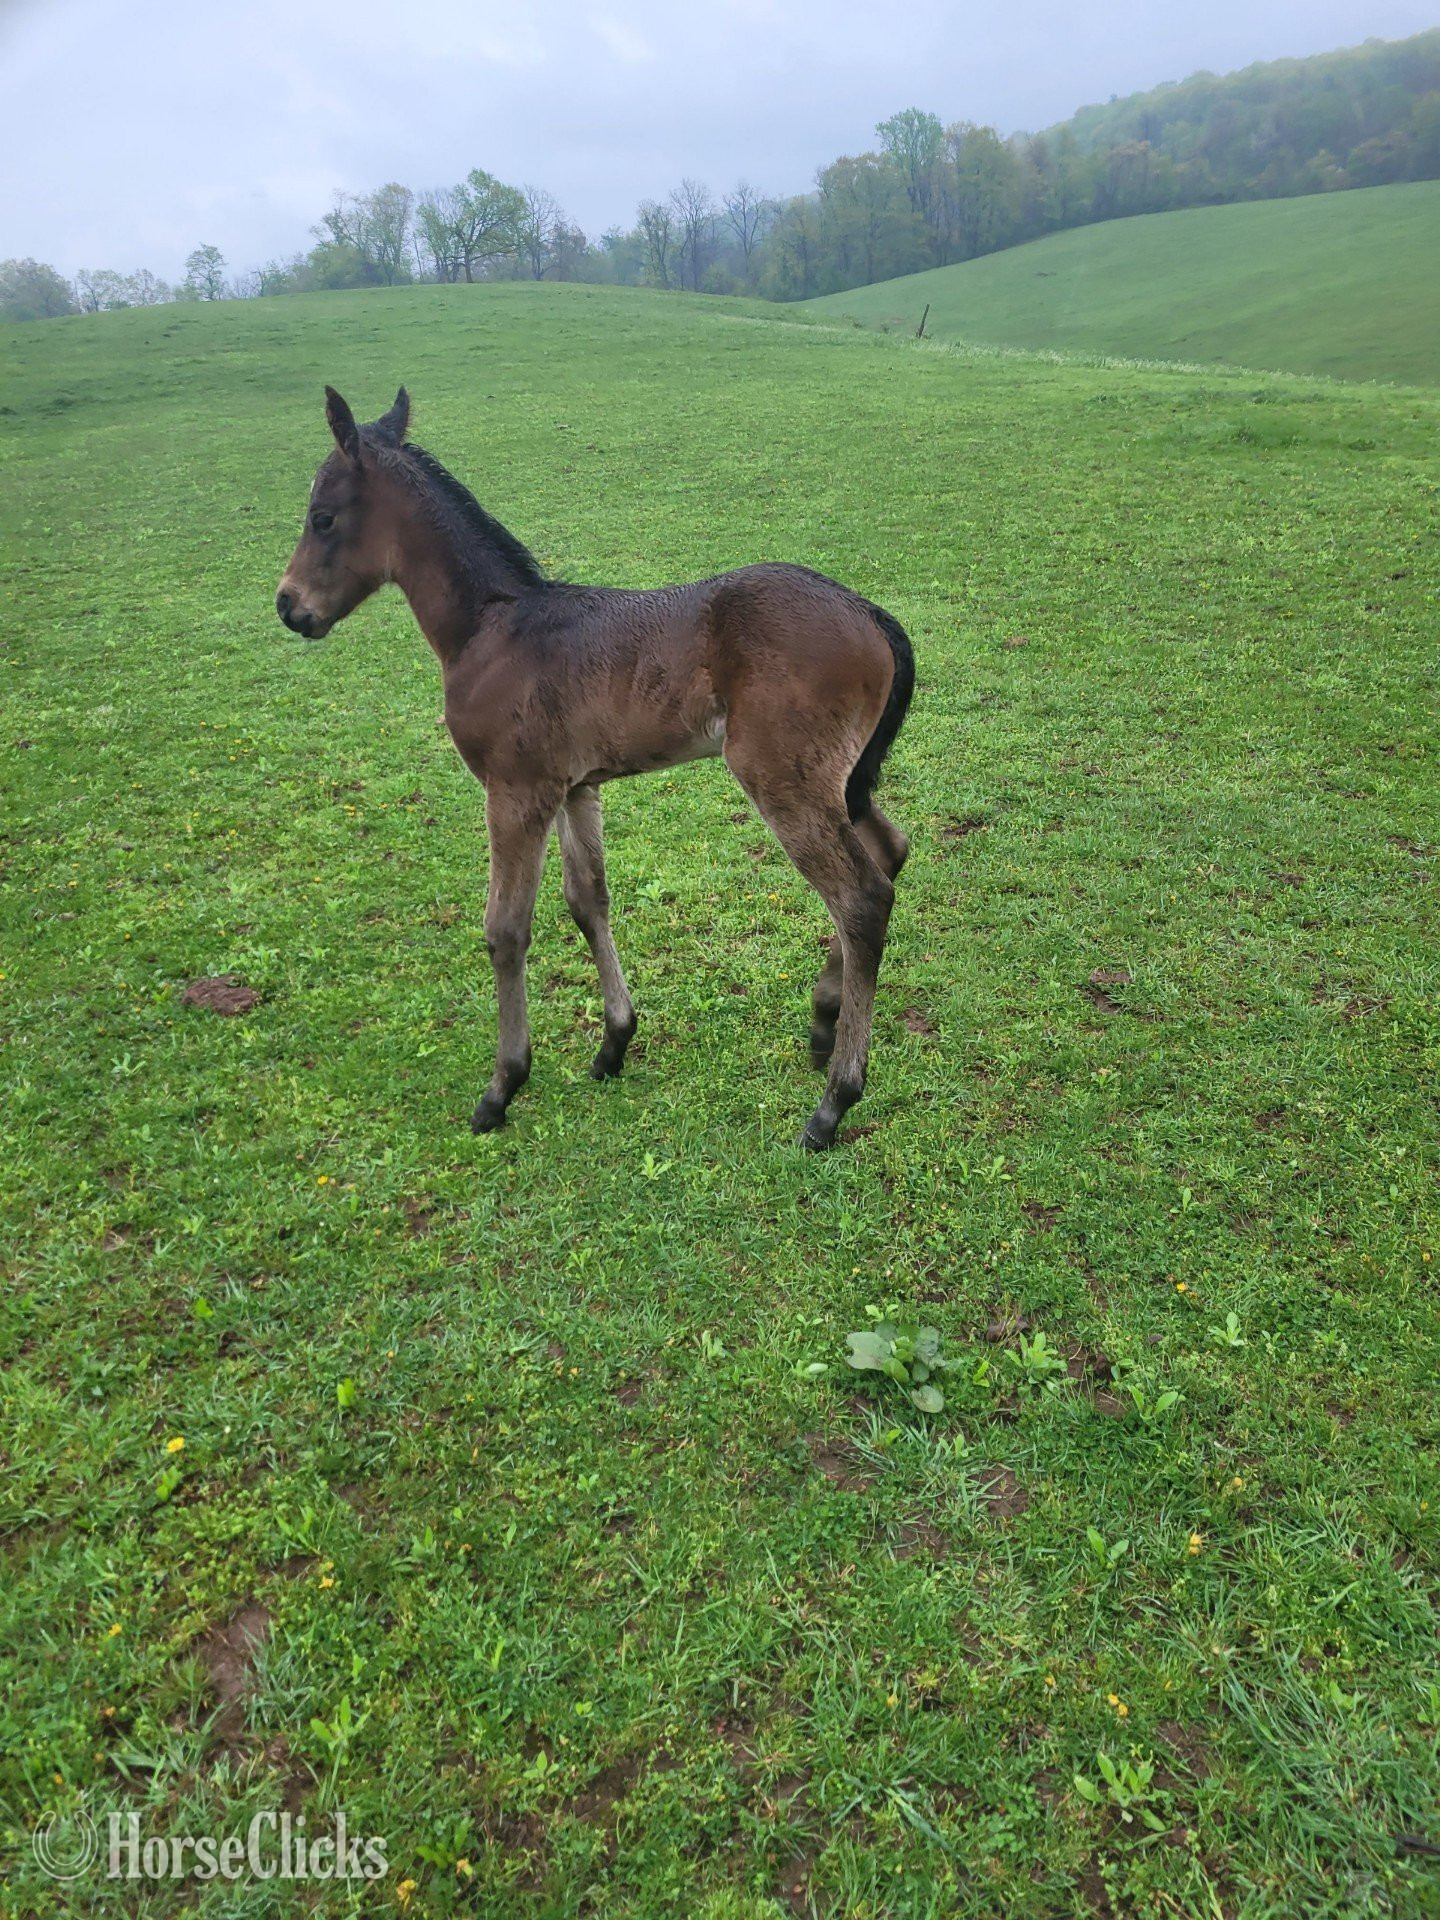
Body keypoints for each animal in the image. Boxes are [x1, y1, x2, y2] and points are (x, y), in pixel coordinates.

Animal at [275, 386, 914, 1150]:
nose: (288, 606)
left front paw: (502, 1086)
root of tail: (867, 611)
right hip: (840, 781)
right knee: (891, 851)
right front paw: (614, 1043)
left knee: (860, 896)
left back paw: (833, 1102)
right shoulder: (574, 787)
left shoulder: (515, 790)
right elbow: (589, 900)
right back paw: (822, 1019)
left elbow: (505, 928)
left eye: (322, 517)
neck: (491, 630)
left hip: (783, 778)